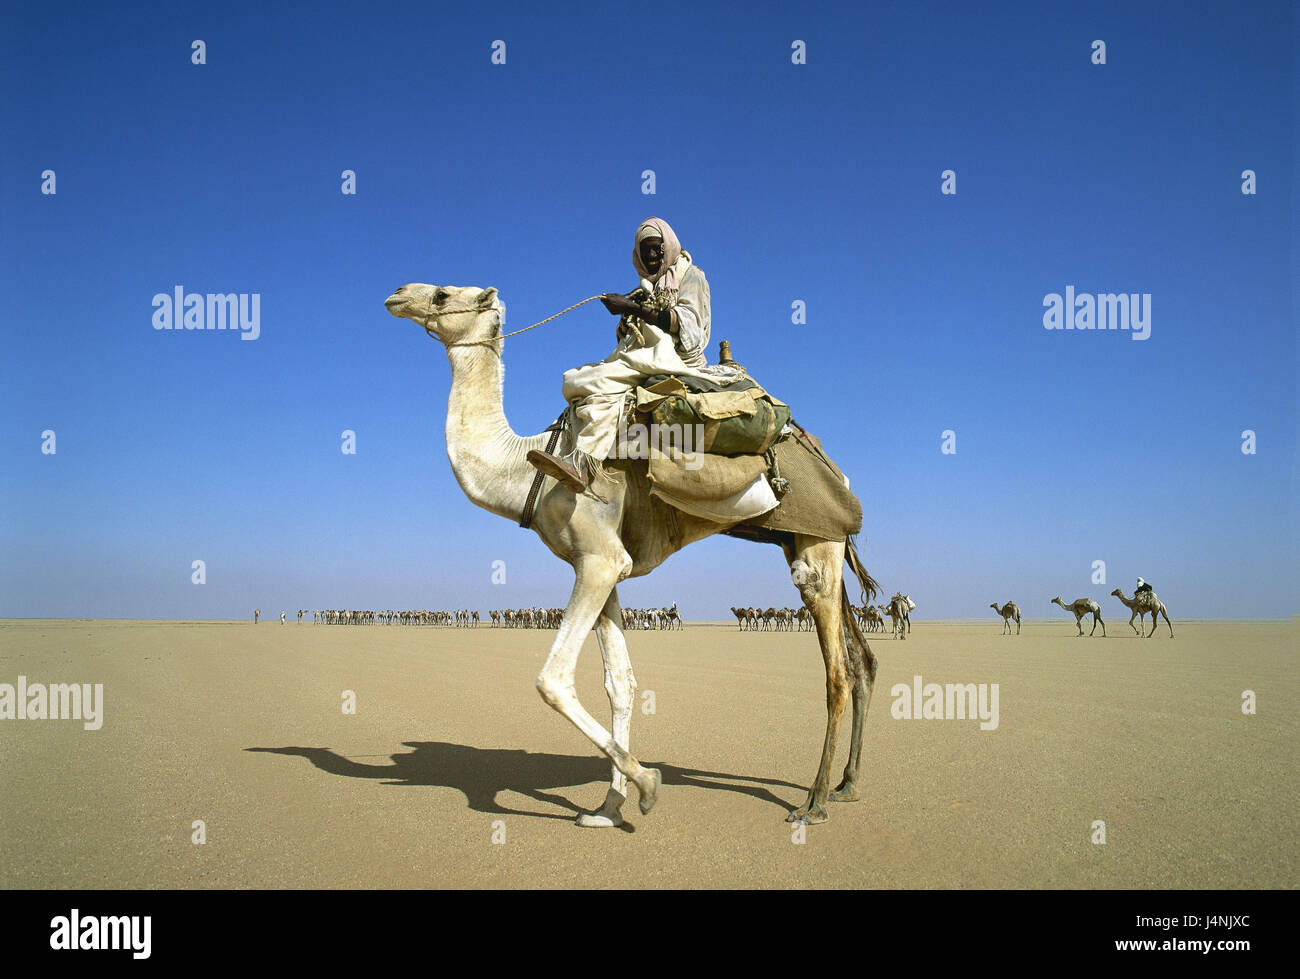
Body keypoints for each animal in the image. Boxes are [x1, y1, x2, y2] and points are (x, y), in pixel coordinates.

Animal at [379, 282, 878, 826]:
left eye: (443, 295)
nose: (398, 294)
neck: (527, 469)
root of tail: (833, 466)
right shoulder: (600, 567)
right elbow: (621, 682)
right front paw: (608, 807)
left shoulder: (599, 561)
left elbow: (553, 680)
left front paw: (646, 783)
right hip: (810, 538)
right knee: (862, 661)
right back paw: (849, 784)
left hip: (816, 545)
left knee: (836, 672)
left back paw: (814, 802)